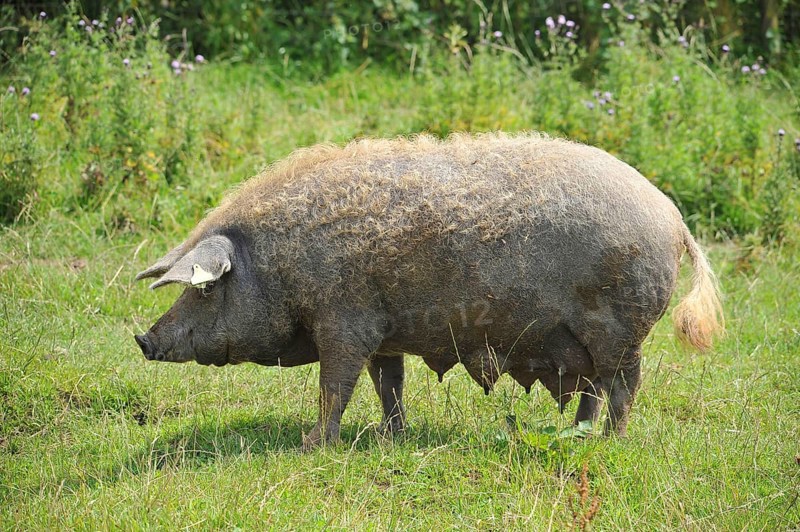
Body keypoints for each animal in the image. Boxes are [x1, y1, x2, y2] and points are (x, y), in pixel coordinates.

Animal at [134, 133, 723, 448]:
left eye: (204, 291)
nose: (143, 340)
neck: (278, 264)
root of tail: (672, 216)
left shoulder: (343, 320)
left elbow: (335, 386)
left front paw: (314, 445)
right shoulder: (382, 330)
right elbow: (387, 384)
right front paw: (389, 437)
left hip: (621, 327)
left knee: (624, 386)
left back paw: (608, 444)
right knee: (594, 389)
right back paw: (573, 436)